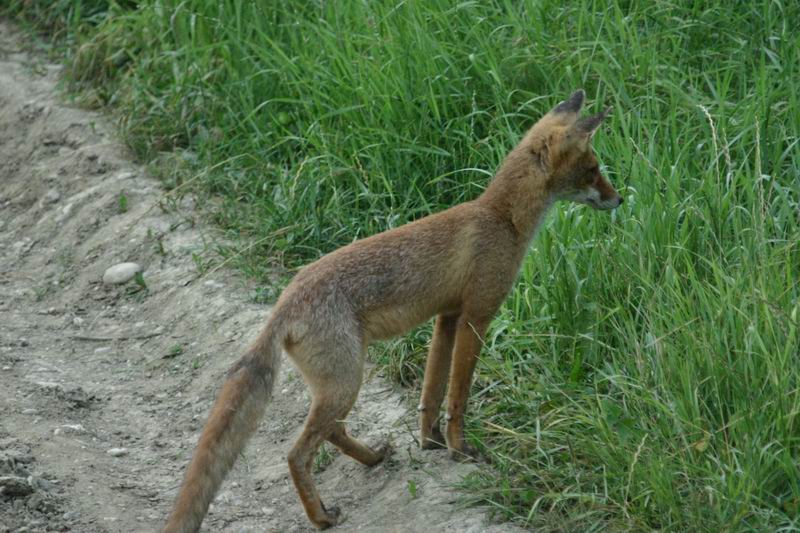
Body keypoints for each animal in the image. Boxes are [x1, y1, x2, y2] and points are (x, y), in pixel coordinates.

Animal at [164, 89, 624, 528]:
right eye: (593, 169)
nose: (619, 199)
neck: (501, 219)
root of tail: (284, 301)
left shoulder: (447, 317)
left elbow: (431, 392)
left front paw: (429, 442)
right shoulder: (477, 314)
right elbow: (457, 396)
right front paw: (459, 449)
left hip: (339, 385)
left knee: (333, 432)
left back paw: (372, 459)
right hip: (346, 382)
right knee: (297, 453)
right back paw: (321, 516)